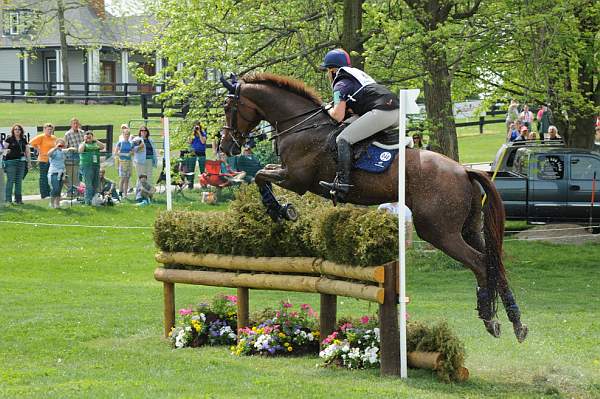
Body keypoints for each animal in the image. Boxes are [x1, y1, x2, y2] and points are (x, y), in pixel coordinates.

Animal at [218, 71, 528, 340]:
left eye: (228, 107)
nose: (225, 147)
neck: (302, 125)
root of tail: (464, 171)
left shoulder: (296, 179)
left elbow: (261, 176)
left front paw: (281, 210)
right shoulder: (288, 173)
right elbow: (262, 174)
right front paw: (281, 208)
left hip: (440, 232)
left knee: (479, 264)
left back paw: (490, 318)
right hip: (469, 228)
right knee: (493, 263)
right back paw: (516, 323)